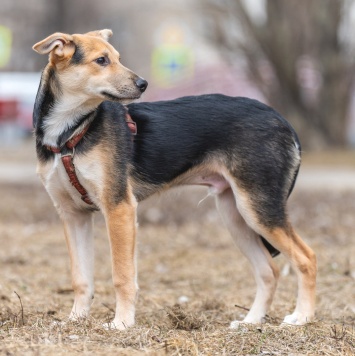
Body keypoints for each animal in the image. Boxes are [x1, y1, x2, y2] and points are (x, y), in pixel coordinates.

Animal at [32, 29, 318, 330]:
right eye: (101, 60)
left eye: (117, 58)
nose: (143, 83)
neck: (68, 133)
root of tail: (282, 121)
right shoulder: (73, 216)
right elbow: (81, 278)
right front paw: (74, 320)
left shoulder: (119, 208)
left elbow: (122, 275)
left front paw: (122, 323)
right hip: (236, 215)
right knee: (268, 270)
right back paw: (251, 322)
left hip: (258, 209)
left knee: (306, 258)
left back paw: (302, 317)